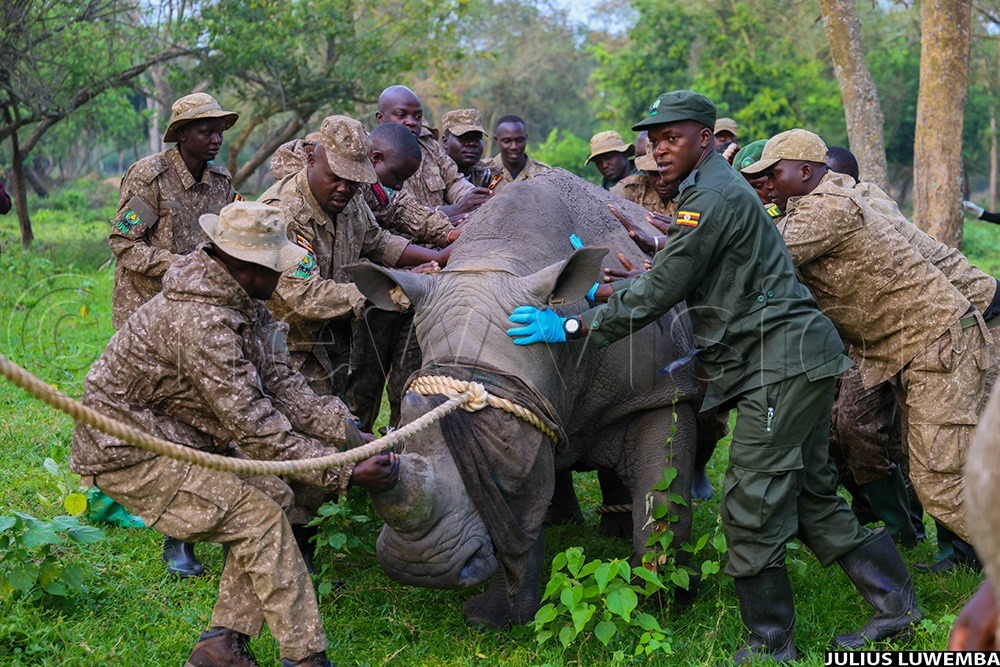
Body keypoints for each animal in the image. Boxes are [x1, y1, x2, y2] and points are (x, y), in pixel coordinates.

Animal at [347, 170, 698, 628]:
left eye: (504, 441)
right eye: (402, 425)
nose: (419, 566)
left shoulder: (662, 392)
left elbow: (662, 496)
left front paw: (664, 598)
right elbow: (517, 515)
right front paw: (493, 620)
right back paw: (565, 521)